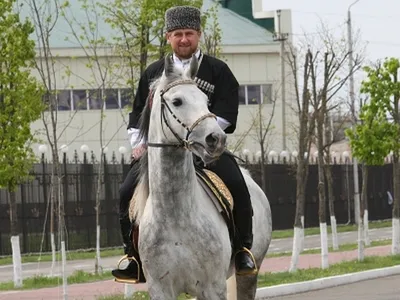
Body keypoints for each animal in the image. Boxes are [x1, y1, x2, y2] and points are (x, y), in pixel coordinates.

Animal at [130, 54, 274, 300]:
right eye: (177, 101)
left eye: (206, 101)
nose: (216, 139)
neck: (175, 215)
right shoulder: (160, 289)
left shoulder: (213, 287)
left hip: (249, 274)